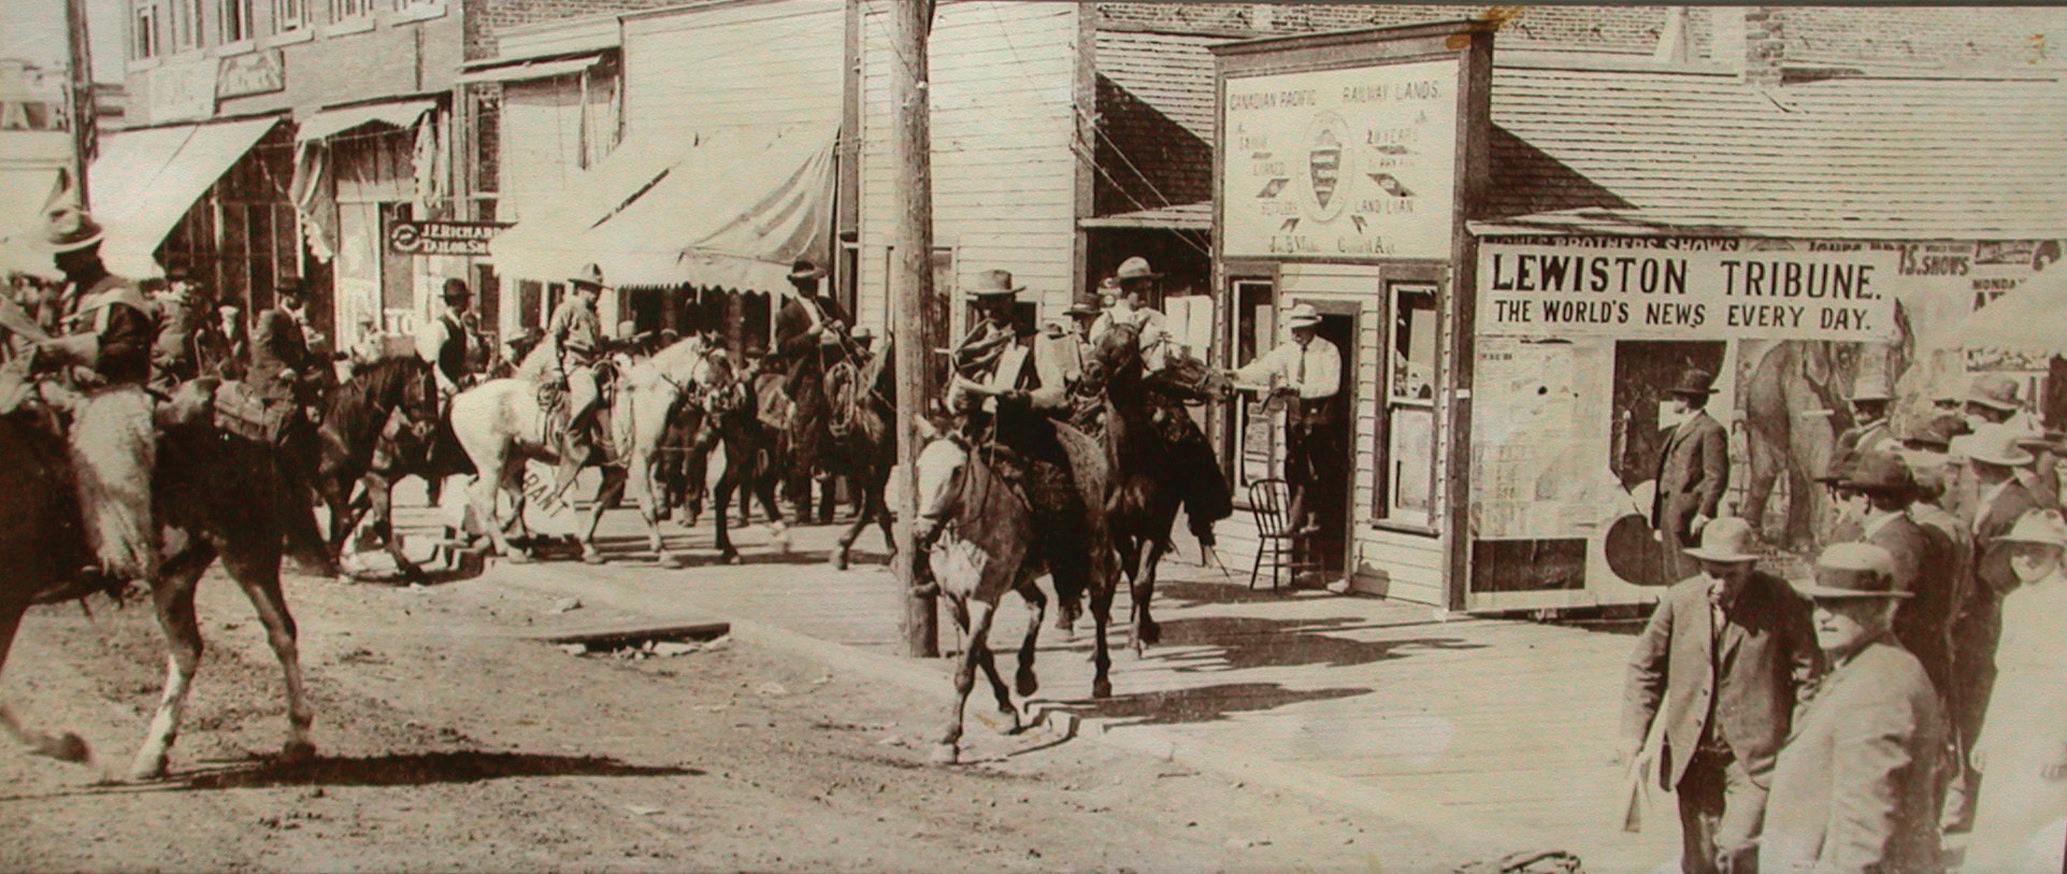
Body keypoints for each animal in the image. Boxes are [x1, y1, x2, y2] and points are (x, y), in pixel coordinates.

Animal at [1, 379, 313, 781]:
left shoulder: (11, 597)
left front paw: (68, 746)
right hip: (175, 573)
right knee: (187, 649)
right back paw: (154, 753)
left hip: (247, 553)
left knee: (280, 632)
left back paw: (298, 740)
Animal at [1080, 321, 1235, 653]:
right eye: (1097, 340)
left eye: (1127, 344)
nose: (1091, 373)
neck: (1129, 464)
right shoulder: (1118, 527)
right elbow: (1130, 570)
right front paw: (1137, 629)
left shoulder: (1155, 524)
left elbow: (1142, 581)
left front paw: (1138, 636)